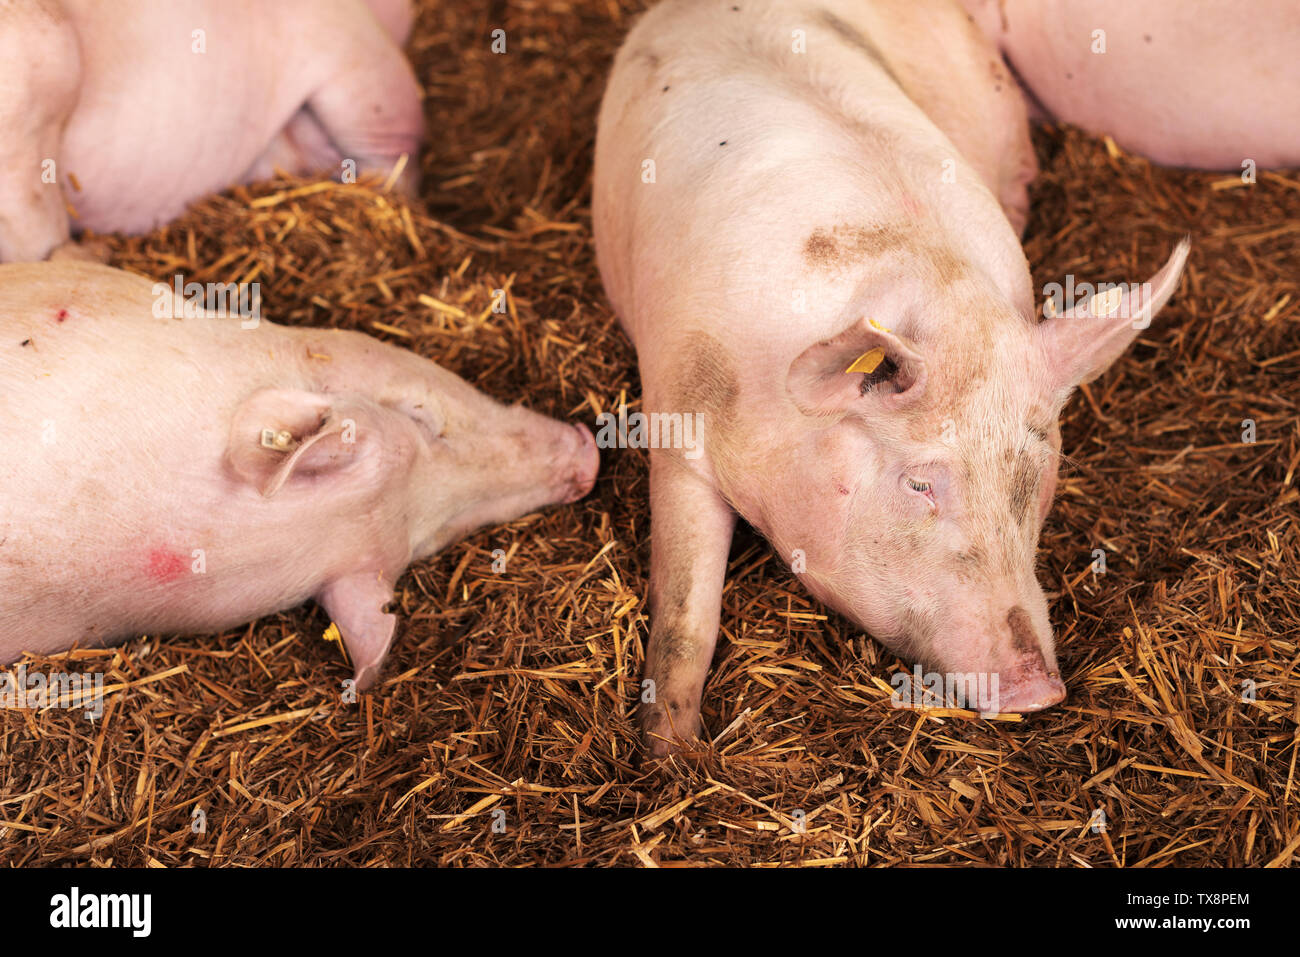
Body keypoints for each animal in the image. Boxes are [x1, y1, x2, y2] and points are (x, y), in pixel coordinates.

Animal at [595, 0, 1190, 754]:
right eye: (918, 484)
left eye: (1035, 476)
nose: (1040, 688)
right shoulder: (675, 406)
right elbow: (682, 604)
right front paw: (671, 753)